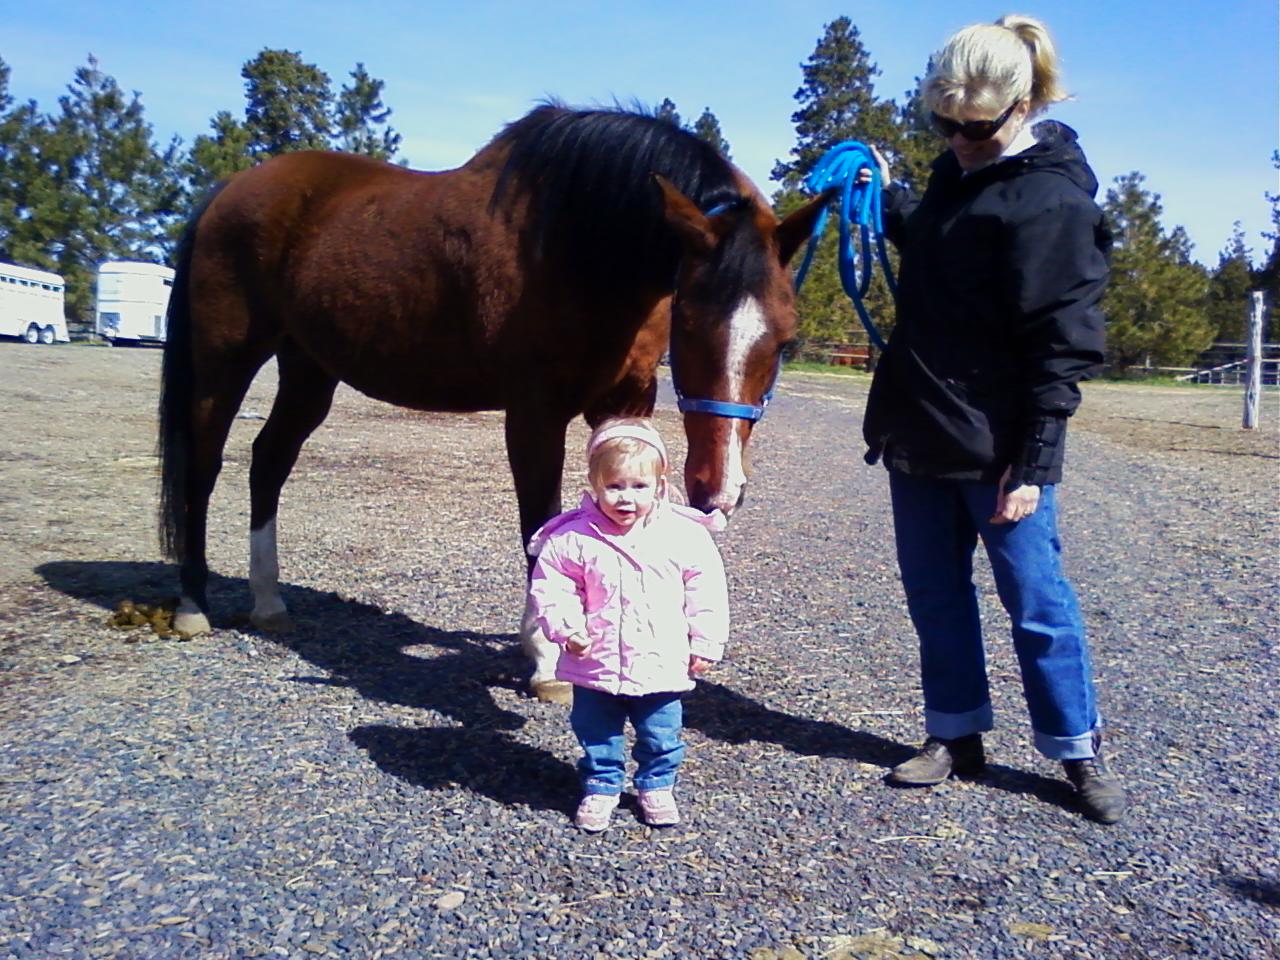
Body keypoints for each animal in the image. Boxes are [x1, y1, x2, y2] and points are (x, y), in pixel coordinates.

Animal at [157, 104, 828, 700]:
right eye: (689, 325)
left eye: (784, 338)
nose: (721, 489)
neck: (581, 244)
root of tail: (229, 190)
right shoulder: (534, 414)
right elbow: (540, 527)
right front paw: (548, 664)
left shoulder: (624, 401)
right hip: (225, 361)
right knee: (204, 467)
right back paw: (192, 604)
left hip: (308, 369)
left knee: (268, 461)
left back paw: (268, 601)